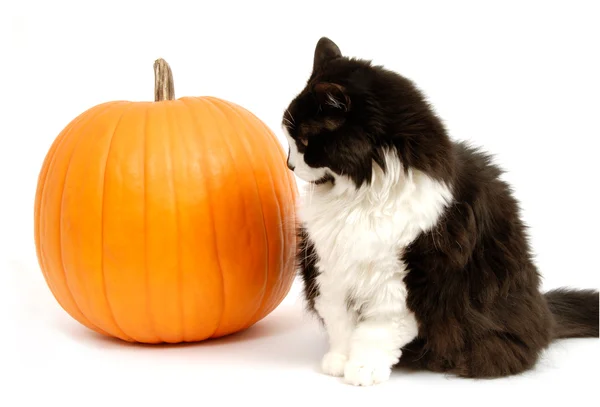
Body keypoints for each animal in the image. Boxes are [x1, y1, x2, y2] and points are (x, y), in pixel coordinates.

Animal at [282, 36, 600, 388]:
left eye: (304, 142)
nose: (289, 164)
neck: (360, 193)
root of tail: (543, 310)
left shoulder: (401, 279)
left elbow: (375, 331)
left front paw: (363, 369)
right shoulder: (330, 268)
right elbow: (341, 323)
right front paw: (338, 361)